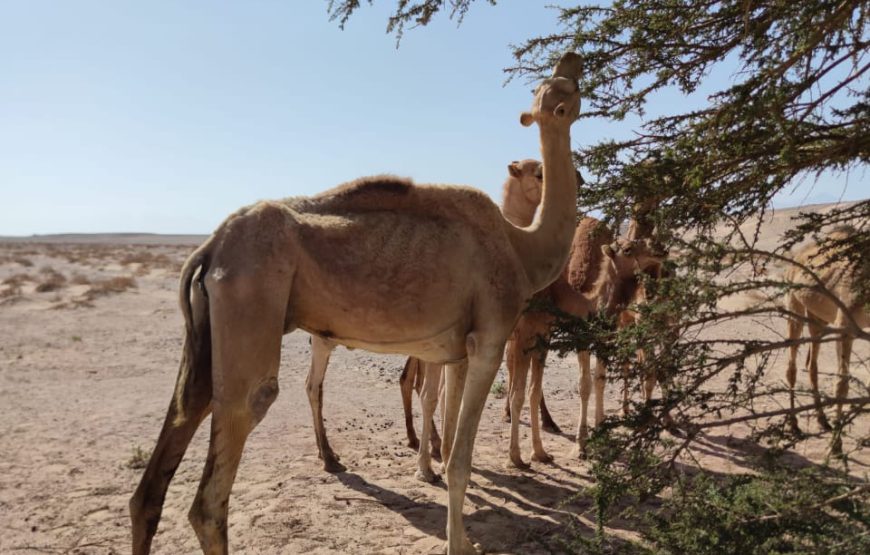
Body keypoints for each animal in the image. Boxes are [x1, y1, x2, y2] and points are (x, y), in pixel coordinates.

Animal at [129, 53, 588, 555]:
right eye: (569, 94)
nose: (582, 176)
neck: (522, 248)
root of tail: (210, 248)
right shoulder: (489, 337)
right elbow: (460, 459)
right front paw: (459, 541)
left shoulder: (454, 349)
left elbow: (449, 443)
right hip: (249, 303)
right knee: (219, 478)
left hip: (206, 335)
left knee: (155, 474)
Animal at [788, 226, 868, 452]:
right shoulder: (845, 326)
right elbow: (841, 384)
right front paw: (836, 446)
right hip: (794, 304)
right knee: (792, 366)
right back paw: (794, 425)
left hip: (817, 316)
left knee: (811, 364)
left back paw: (822, 420)